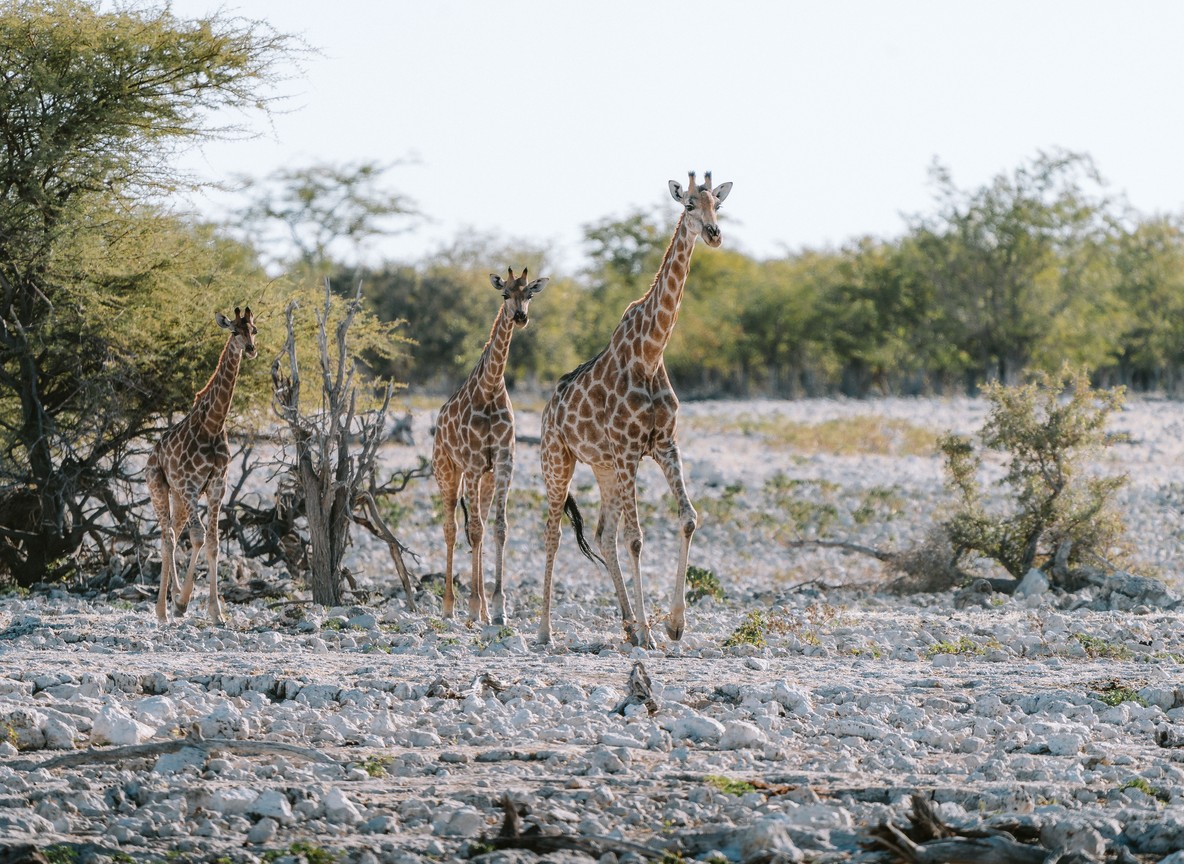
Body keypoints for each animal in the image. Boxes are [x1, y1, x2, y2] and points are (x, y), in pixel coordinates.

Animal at [147, 306, 258, 624]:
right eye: (234, 330)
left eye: (253, 330)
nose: (251, 349)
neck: (213, 424)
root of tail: (153, 453)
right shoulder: (190, 485)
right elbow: (197, 538)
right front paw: (185, 601)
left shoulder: (217, 486)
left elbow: (213, 543)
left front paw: (216, 612)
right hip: (159, 487)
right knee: (168, 536)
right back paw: (163, 611)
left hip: (179, 497)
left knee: (173, 531)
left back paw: (172, 600)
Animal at [432, 267, 548, 624]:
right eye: (504, 294)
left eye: (530, 294)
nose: (520, 317)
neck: (491, 386)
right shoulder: (470, 463)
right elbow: (474, 529)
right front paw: (472, 606)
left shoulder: (503, 461)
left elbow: (498, 528)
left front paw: (498, 607)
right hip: (447, 472)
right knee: (453, 528)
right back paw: (450, 607)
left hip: (483, 478)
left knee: (478, 528)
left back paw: (482, 609)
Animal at [537, 172, 731, 648]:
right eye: (688, 206)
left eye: (718, 205)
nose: (714, 234)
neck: (650, 351)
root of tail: (548, 410)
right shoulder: (629, 451)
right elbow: (637, 538)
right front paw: (651, 633)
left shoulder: (662, 444)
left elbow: (688, 518)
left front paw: (673, 624)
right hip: (558, 461)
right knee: (553, 533)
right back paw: (545, 630)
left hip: (603, 467)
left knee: (602, 535)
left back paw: (626, 623)